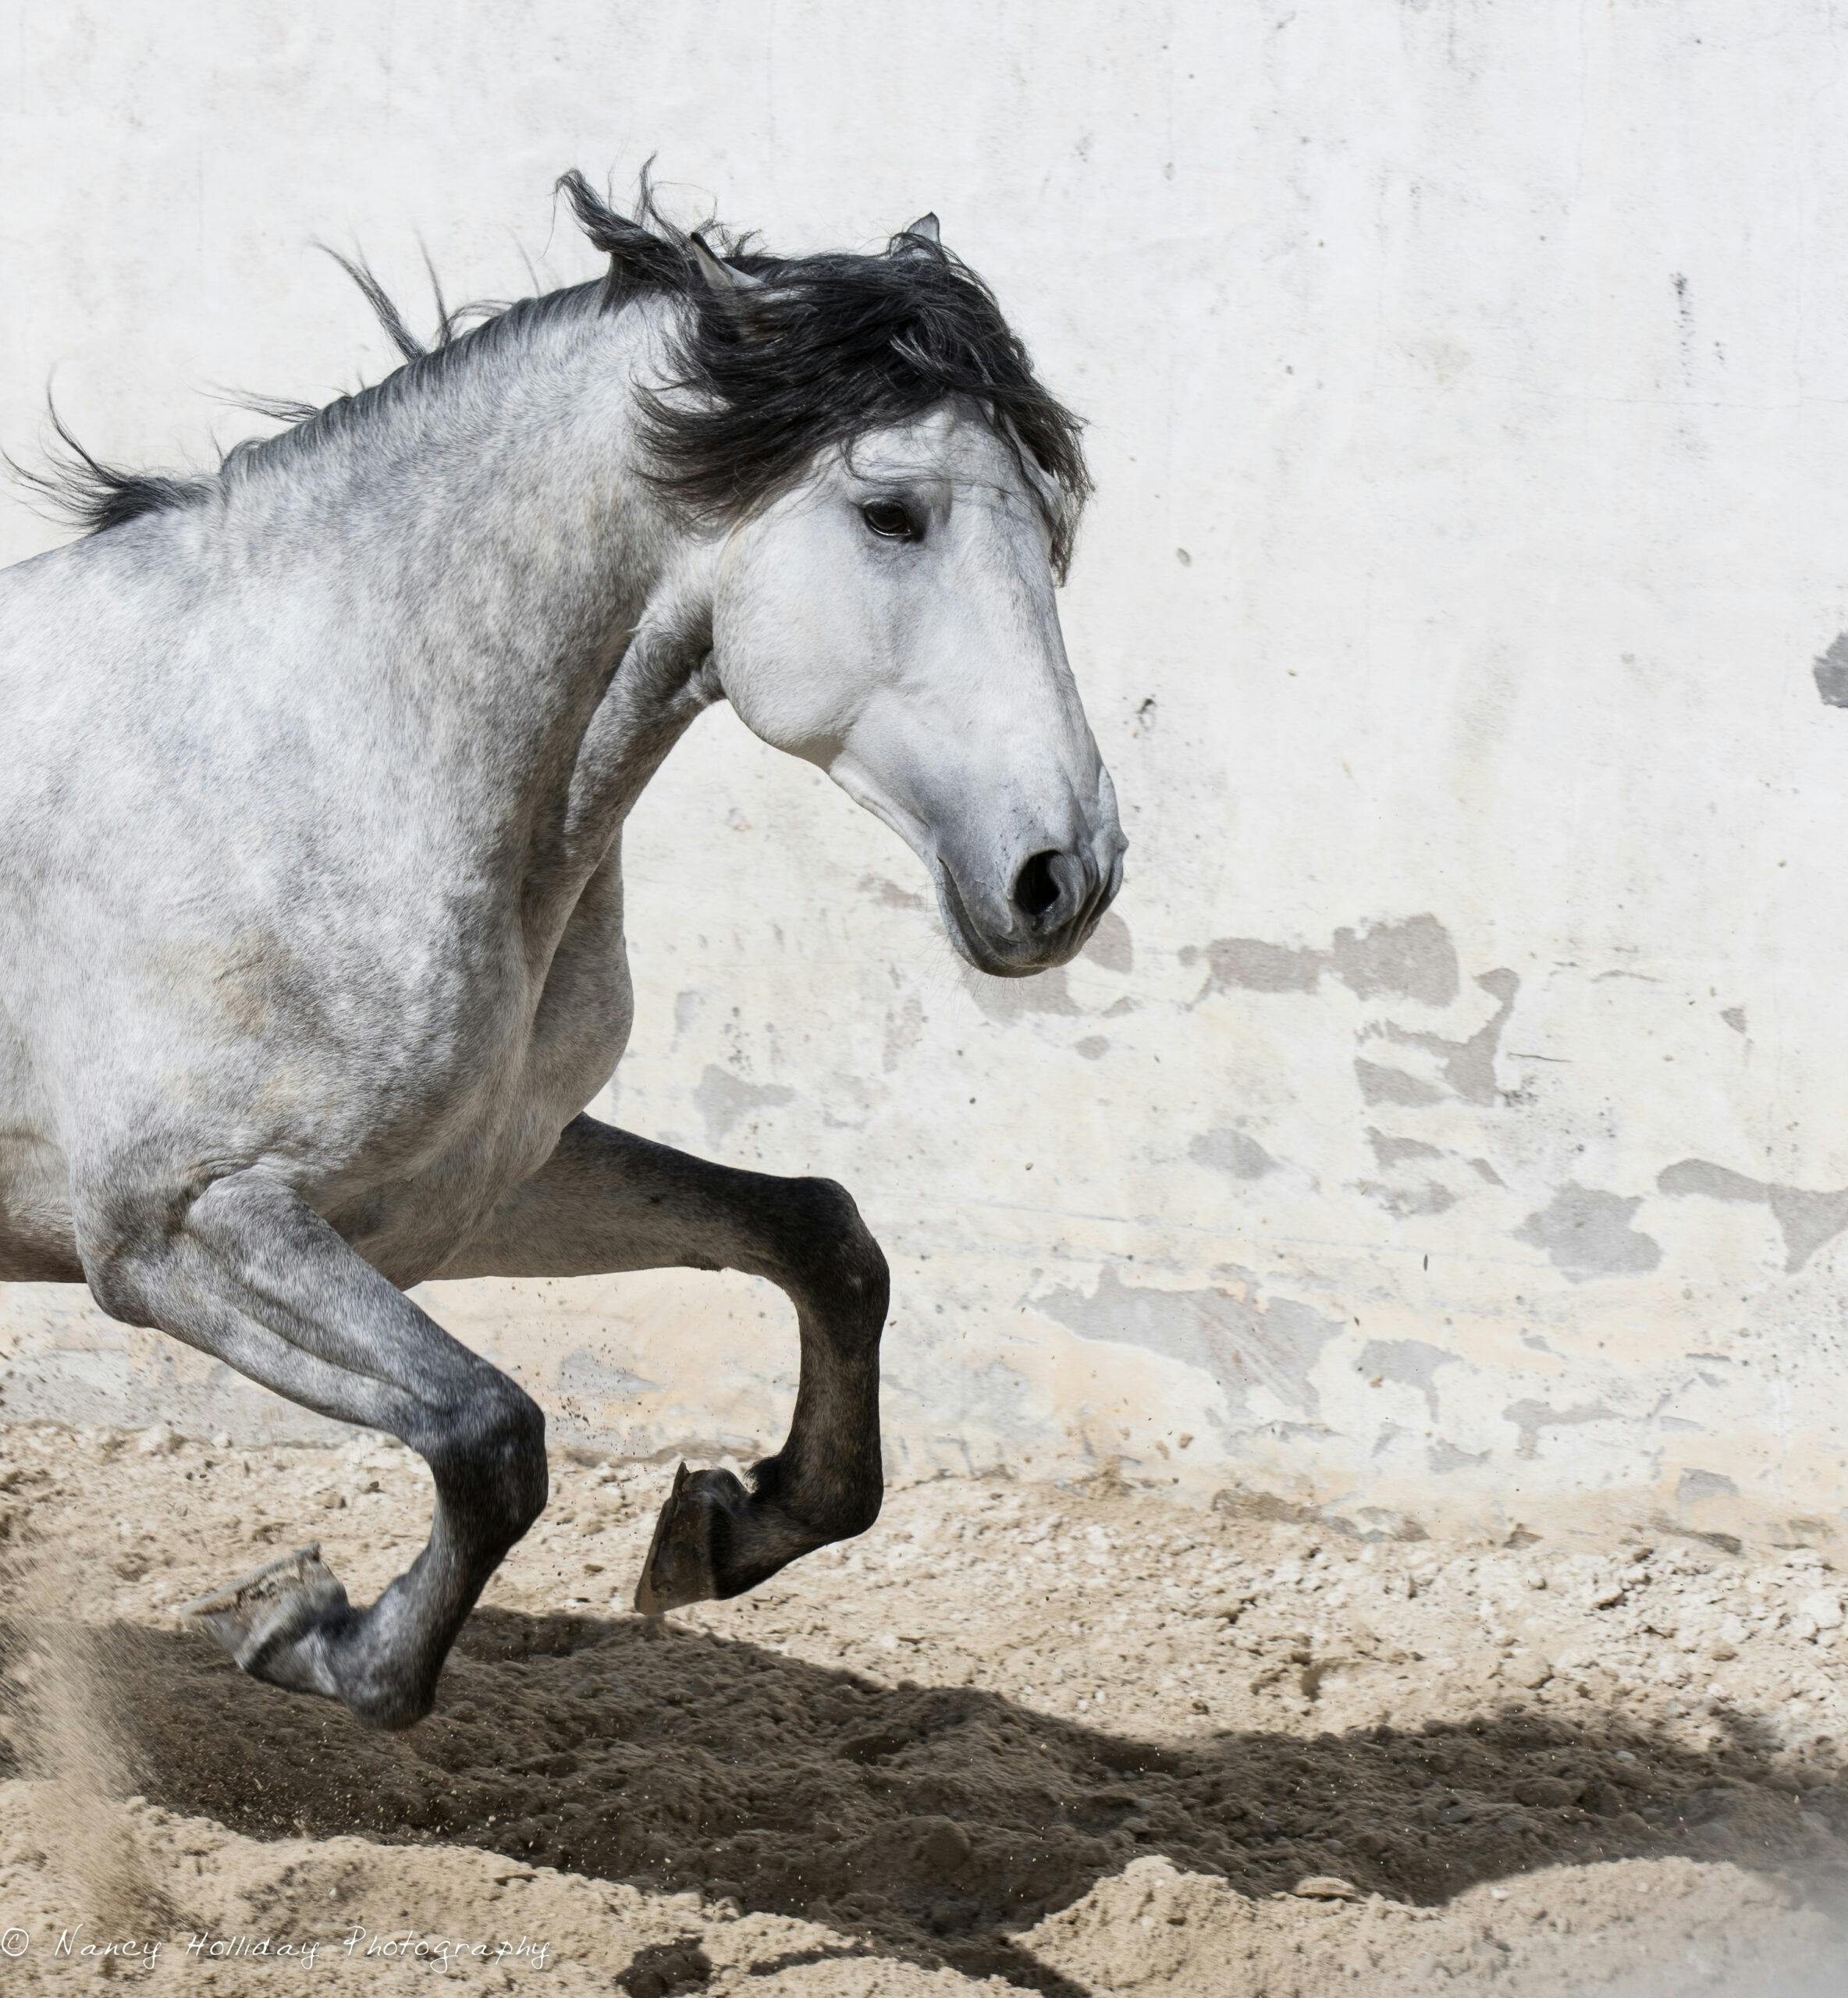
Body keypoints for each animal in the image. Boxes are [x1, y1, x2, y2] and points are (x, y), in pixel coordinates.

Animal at [0, 176, 1126, 1734]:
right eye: (891, 513)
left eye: (1054, 529)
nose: (1062, 877)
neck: (296, 746)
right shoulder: (169, 1228)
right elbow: (494, 1436)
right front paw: (301, 1630)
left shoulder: (461, 1193)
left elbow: (823, 1237)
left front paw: (724, 1530)